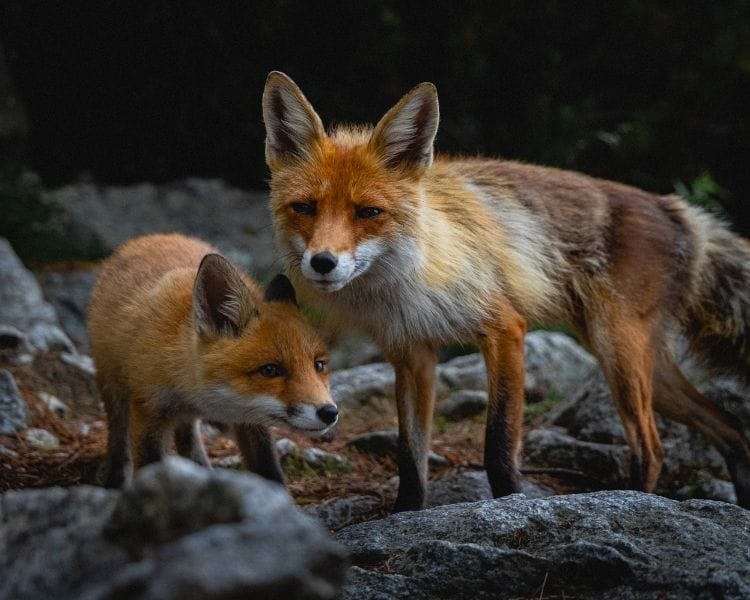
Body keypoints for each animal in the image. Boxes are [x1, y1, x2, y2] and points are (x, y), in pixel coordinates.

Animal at [88, 233, 338, 488]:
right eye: (270, 370)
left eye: (319, 365)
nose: (329, 412)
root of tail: (151, 237)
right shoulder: (148, 409)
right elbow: (149, 466)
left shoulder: (251, 421)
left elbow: (268, 469)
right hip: (114, 390)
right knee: (119, 438)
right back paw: (115, 478)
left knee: (187, 438)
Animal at [261, 71, 750, 511]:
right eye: (304, 208)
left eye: (368, 212)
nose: (323, 262)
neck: (405, 282)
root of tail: (675, 207)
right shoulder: (412, 353)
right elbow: (410, 455)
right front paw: (405, 513)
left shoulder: (505, 329)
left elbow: (497, 444)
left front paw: (511, 503)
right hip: (647, 368)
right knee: (729, 426)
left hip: (619, 355)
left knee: (653, 448)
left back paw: (634, 501)